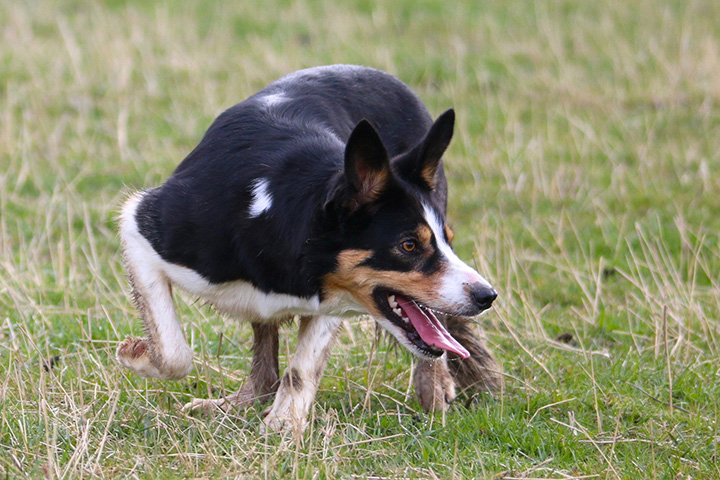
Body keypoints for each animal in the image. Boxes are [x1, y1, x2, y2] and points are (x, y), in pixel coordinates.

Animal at [118, 64, 500, 432]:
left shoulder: (332, 294)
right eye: (408, 245)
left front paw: (283, 427)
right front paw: (135, 354)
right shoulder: (142, 225)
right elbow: (173, 352)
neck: (275, 215)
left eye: (446, 238)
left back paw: (434, 387)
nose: (488, 296)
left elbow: (302, 369)